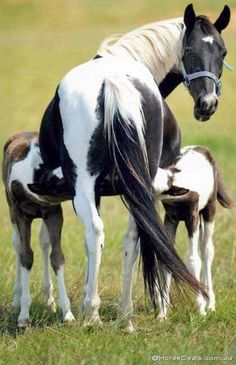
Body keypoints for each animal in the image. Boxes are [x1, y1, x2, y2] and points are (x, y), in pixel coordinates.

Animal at [1, 132, 74, 328]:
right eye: (60, 183)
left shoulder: (54, 213)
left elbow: (57, 257)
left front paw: (67, 313)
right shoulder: (20, 214)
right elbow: (26, 255)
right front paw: (23, 316)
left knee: (44, 243)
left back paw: (49, 300)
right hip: (11, 211)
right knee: (17, 244)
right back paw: (16, 301)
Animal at [26, 4, 230, 328]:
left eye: (222, 52)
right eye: (189, 50)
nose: (207, 104)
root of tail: (113, 81)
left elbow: (91, 244)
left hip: (85, 184)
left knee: (96, 231)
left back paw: (93, 312)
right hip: (136, 185)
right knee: (133, 235)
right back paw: (126, 313)